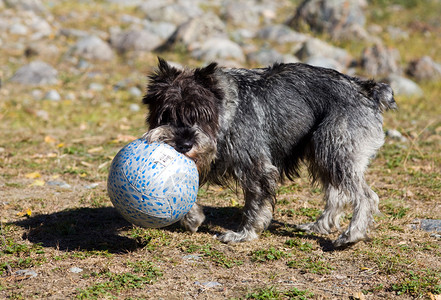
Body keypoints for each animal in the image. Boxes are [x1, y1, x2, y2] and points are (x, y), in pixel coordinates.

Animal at [142, 57, 396, 247]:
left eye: (202, 115)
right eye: (166, 113)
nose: (184, 145)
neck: (226, 111)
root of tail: (367, 91)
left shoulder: (258, 168)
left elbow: (255, 206)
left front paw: (245, 234)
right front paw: (192, 218)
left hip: (335, 151)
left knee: (366, 196)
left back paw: (352, 235)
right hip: (323, 154)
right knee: (337, 195)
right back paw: (319, 226)